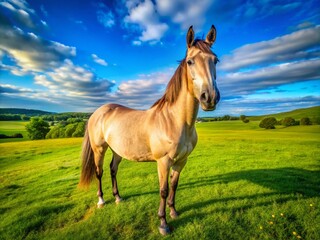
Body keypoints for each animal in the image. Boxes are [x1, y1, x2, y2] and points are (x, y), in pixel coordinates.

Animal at [79, 25, 220, 235]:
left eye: (215, 60)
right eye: (190, 61)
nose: (209, 97)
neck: (174, 121)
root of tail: (98, 112)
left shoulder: (181, 161)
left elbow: (174, 185)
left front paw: (173, 212)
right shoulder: (163, 162)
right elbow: (163, 190)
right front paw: (163, 223)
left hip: (117, 150)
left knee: (113, 169)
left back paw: (118, 197)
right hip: (99, 149)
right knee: (100, 172)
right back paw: (102, 200)